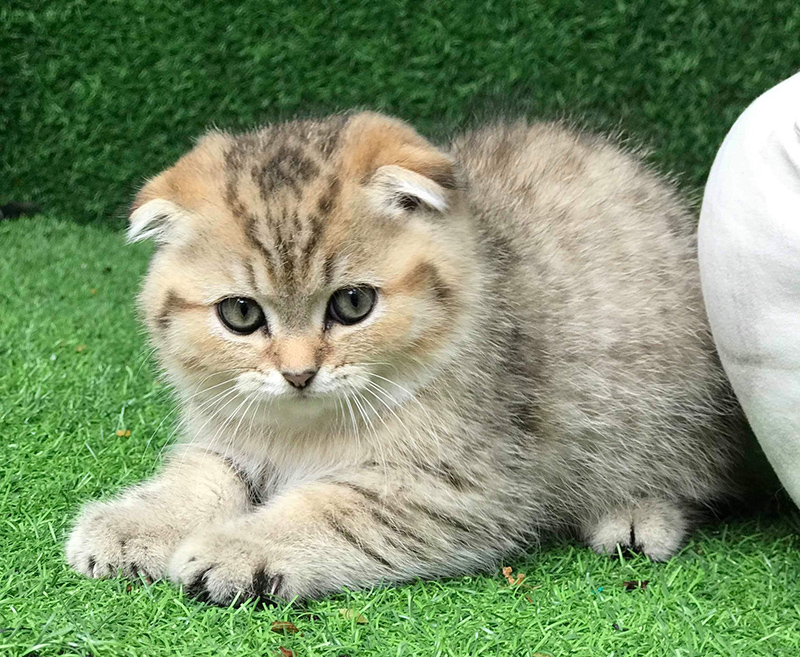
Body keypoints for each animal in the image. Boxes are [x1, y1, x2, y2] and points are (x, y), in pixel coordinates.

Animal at [65, 110, 748, 604]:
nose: (298, 373)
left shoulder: (459, 486)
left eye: (352, 304)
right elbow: (201, 476)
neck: (305, 433)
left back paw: (635, 514)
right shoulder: (229, 432)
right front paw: (140, 524)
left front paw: (240, 550)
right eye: (241, 315)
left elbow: (332, 510)